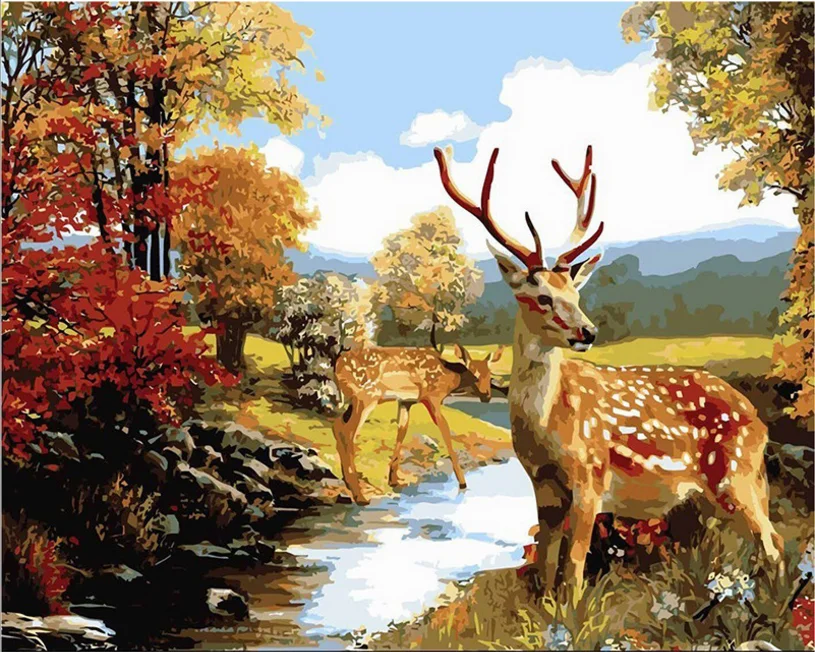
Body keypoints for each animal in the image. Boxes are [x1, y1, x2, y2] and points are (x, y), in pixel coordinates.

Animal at [332, 344, 504, 505]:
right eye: (474, 374)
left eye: (490, 375)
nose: (486, 396)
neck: (450, 378)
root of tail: (337, 366)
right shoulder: (432, 397)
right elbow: (446, 433)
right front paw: (462, 483)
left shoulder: (406, 402)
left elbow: (402, 431)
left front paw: (393, 479)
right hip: (366, 396)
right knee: (348, 432)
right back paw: (360, 496)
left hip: (354, 400)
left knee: (338, 425)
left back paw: (348, 483)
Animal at [433, 144, 785, 596]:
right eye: (542, 297)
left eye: (575, 293)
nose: (588, 331)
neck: (546, 429)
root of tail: (758, 419)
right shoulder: (542, 487)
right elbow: (545, 569)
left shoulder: (590, 476)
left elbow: (574, 570)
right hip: (721, 489)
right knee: (762, 540)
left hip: (737, 472)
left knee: (771, 542)